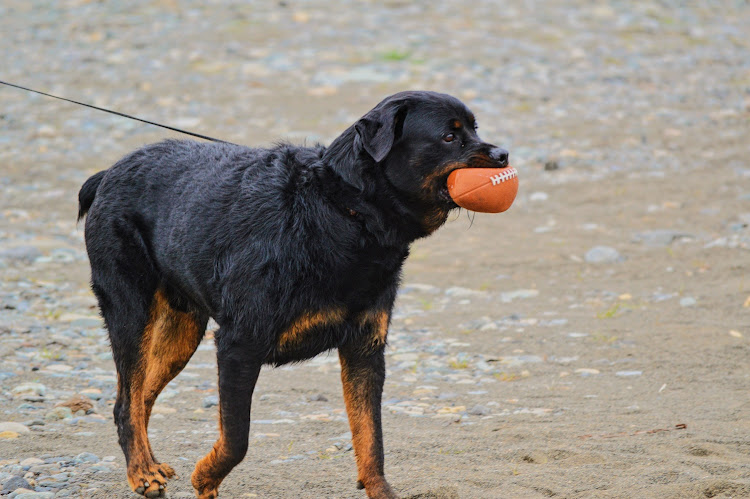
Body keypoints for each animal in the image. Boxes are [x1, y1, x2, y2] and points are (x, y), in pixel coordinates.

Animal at [76, 91, 512, 499]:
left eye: (474, 129)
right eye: (449, 136)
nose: (504, 153)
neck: (342, 211)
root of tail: (108, 174)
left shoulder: (365, 348)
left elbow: (371, 438)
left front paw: (380, 490)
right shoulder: (239, 345)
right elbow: (237, 438)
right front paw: (206, 477)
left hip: (180, 332)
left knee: (141, 397)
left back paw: (149, 464)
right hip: (131, 313)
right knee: (126, 400)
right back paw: (141, 472)